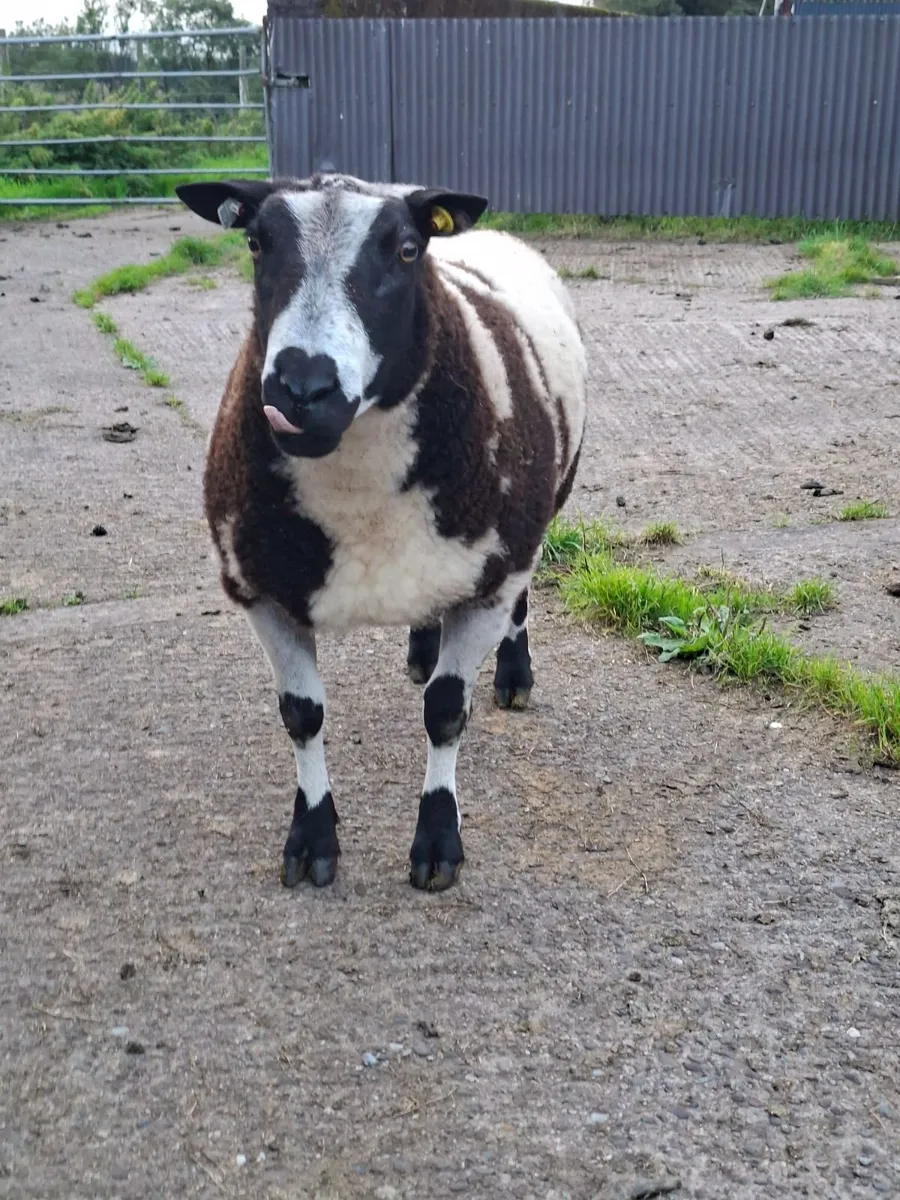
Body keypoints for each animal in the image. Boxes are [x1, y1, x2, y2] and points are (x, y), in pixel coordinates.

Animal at [175, 171, 588, 892]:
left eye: (405, 249)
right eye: (255, 242)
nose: (301, 389)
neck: (359, 499)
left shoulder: (493, 573)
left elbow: (445, 710)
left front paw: (438, 845)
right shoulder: (263, 591)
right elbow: (302, 715)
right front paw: (312, 840)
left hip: (533, 521)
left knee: (522, 601)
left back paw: (514, 676)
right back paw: (422, 647)